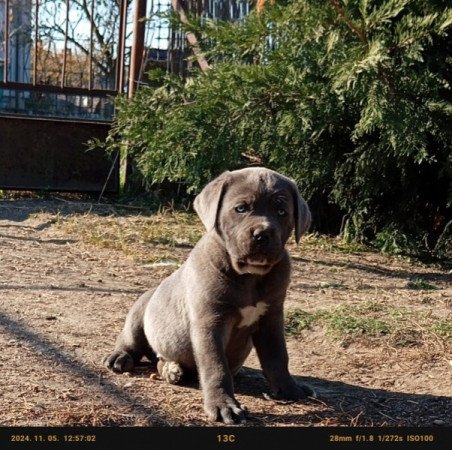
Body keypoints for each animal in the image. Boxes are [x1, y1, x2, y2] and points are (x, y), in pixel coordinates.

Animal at [103, 167, 312, 424]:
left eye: (282, 212)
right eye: (241, 208)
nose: (263, 233)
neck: (249, 276)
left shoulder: (271, 318)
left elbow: (278, 357)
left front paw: (290, 389)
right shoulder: (210, 322)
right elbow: (216, 366)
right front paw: (224, 406)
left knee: (161, 360)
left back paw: (172, 370)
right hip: (139, 312)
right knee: (131, 341)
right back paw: (121, 358)